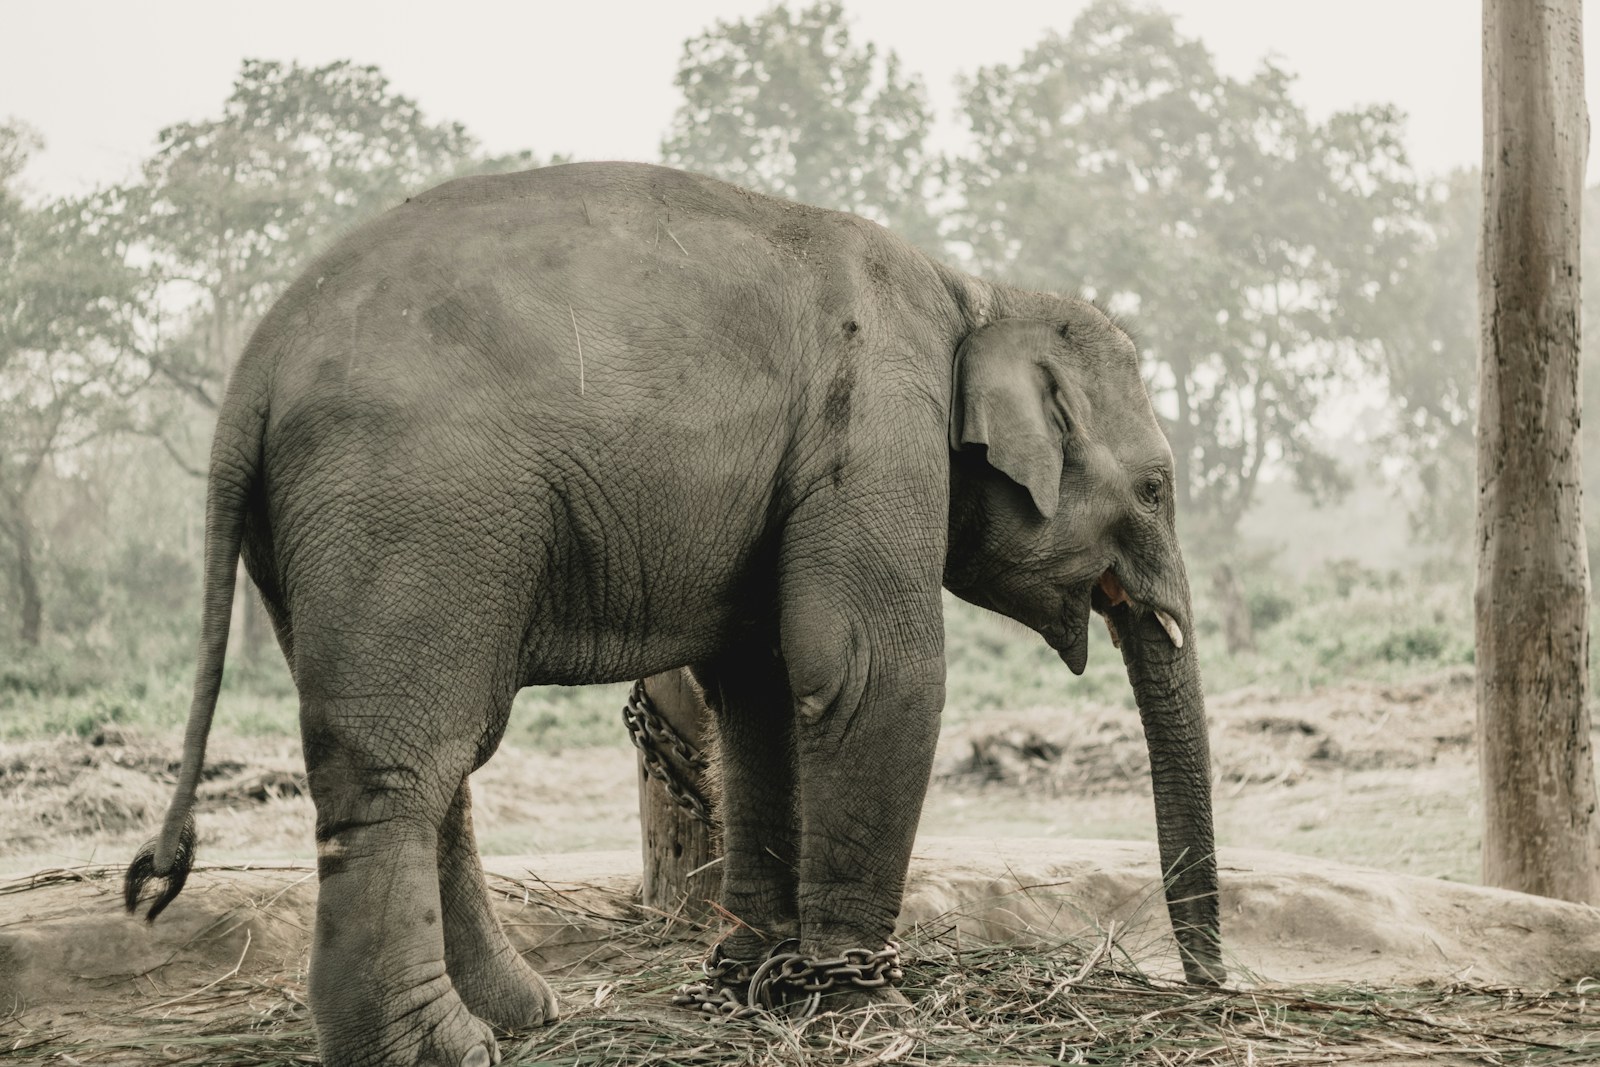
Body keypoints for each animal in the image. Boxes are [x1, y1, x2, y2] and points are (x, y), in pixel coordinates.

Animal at [125, 161, 1222, 1066]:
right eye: (1157, 488)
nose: (1208, 990)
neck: (977, 292)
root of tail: (255, 365)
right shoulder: (875, 424)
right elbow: (869, 671)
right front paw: (863, 1008)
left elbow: (763, 685)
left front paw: (758, 978)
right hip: (414, 510)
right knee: (405, 763)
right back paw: (442, 1048)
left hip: (326, 538)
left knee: (433, 761)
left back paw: (522, 1013)